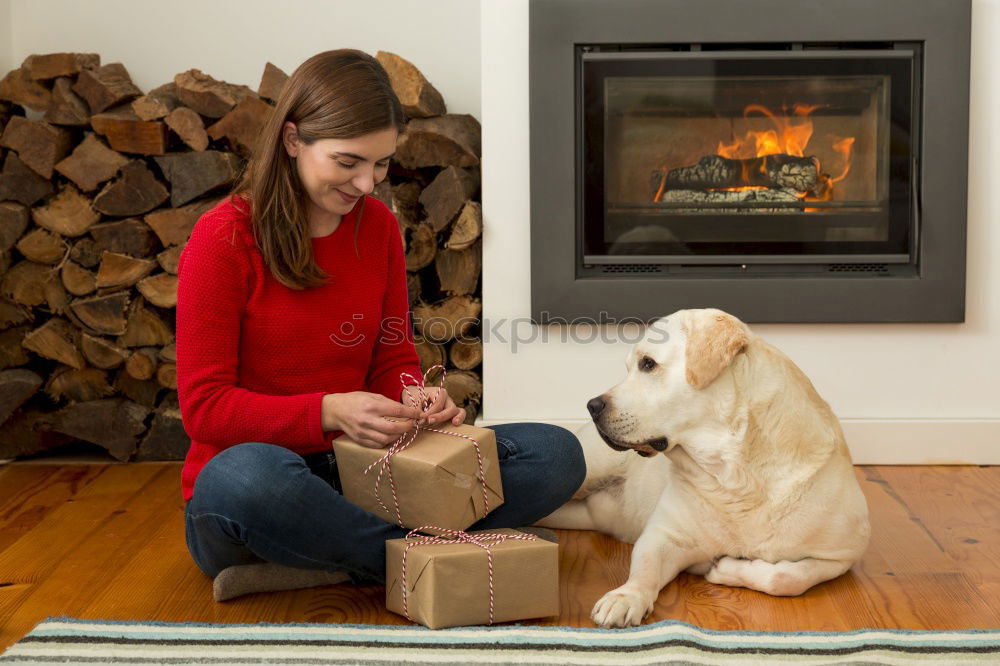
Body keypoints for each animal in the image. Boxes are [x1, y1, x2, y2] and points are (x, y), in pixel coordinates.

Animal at [536, 308, 872, 624]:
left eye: (648, 364)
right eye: (630, 368)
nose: (592, 406)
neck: (735, 475)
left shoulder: (841, 556)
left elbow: (785, 577)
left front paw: (726, 568)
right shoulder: (664, 535)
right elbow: (644, 568)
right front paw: (626, 597)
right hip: (587, 467)